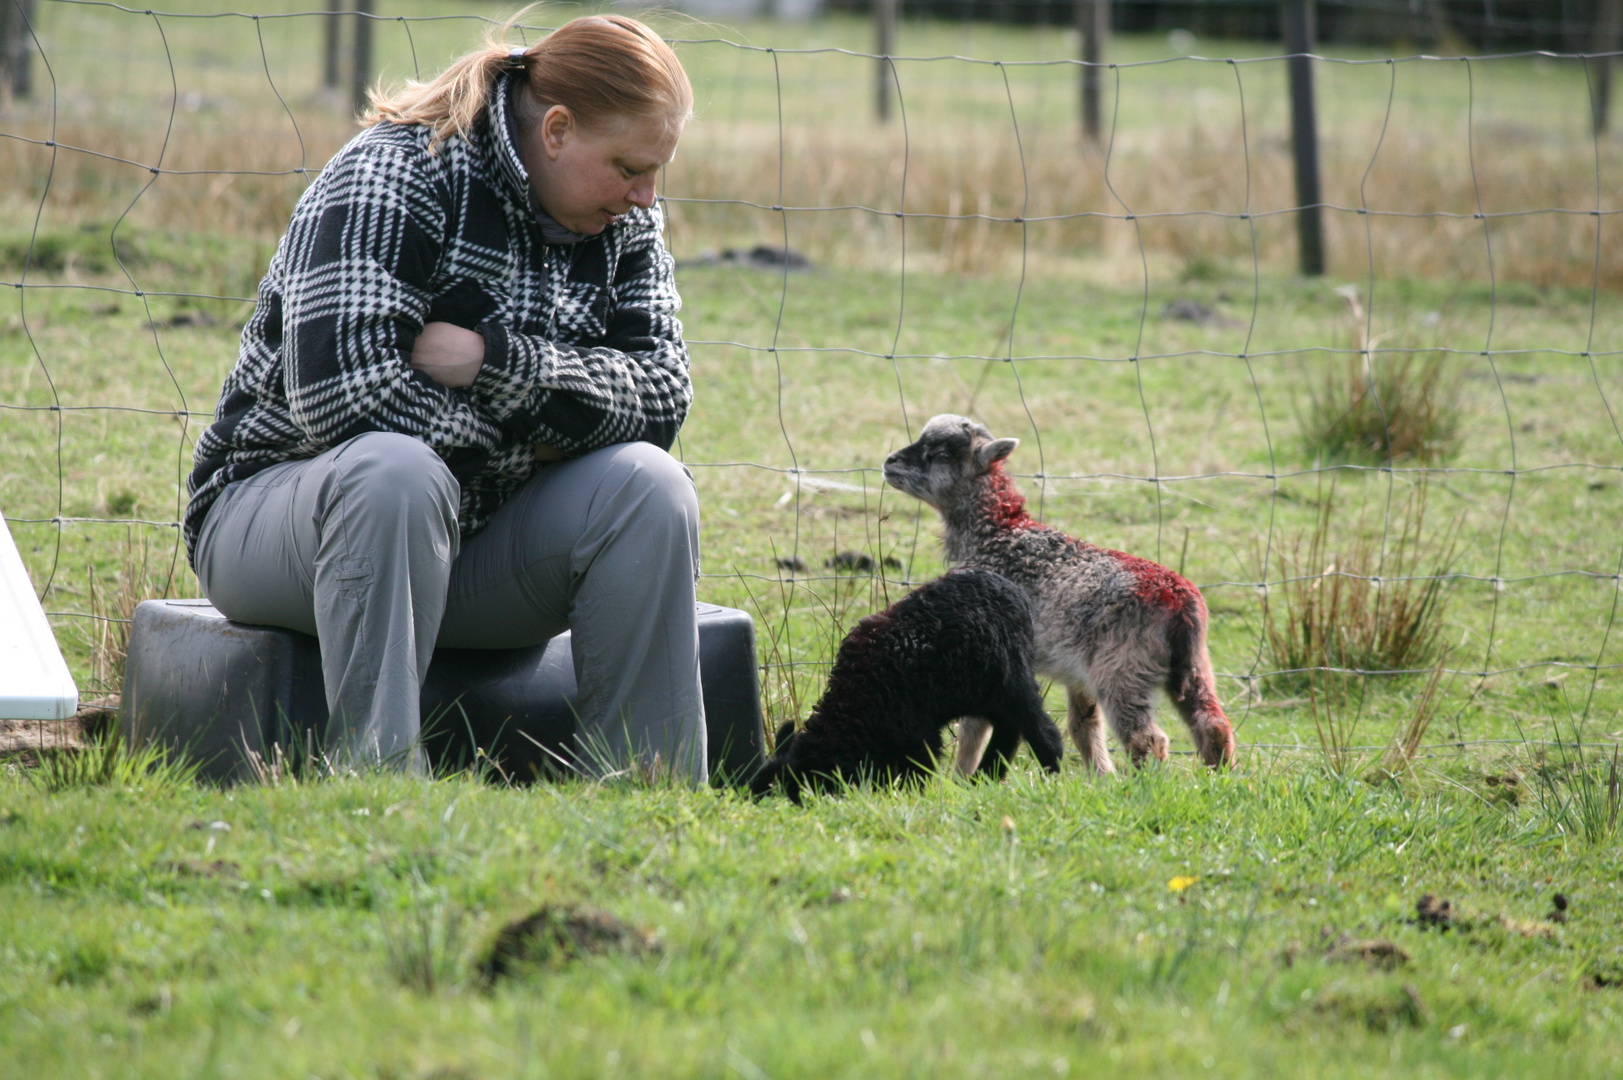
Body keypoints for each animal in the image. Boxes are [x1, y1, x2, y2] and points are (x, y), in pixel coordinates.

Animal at [746, 565, 1064, 799]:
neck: (855, 706)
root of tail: (1012, 589)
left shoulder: (916, 731)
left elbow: (918, 768)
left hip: (1012, 680)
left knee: (1039, 728)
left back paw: (1050, 773)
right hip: (989, 693)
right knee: (1009, 729)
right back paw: (983, 779)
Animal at [882, 414, 1233, 776]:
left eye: (942, 455)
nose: (889, 462)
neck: (994, 535)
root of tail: (1180, 602)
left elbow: (972, 730)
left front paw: (962, 779)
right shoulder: (1075, 673)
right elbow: (1083, 727)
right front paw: (1102, 778)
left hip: (1123, 668)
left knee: (1147, 739)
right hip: (1195, 667)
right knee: (1213, 725)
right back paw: (1217, 778)